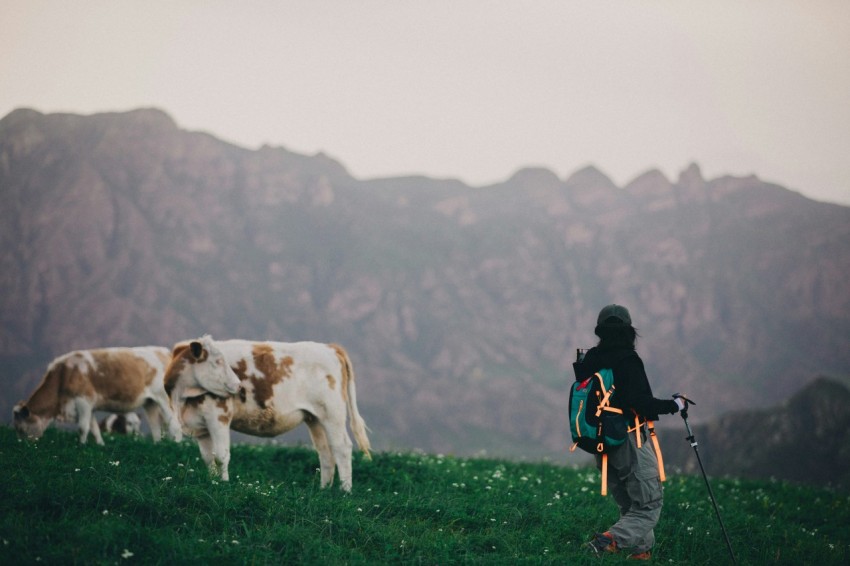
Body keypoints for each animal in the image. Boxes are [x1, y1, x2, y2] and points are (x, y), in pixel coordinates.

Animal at [13, 346, 182, 448]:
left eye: (21, 428)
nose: (23, 446)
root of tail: (163, 351)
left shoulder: (83, 400)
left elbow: (83, 427)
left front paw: (81, 446)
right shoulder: (89, 406)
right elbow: (93, 427)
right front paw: (100, 445)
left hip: (164, 399)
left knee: (174, 424)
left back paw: (177, 445)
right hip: (150, 402)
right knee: (155, 426)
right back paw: (157, 445)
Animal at [166, 338, 372, 492]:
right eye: (218, 361)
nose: (239, 386)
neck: (181, 402)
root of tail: (331, 347)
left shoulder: (218, 416)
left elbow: (221, 456)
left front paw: (223, 485)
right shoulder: (201, 428)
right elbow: (208, 458)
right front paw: (213, 483)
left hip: (332, 414)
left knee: (342, 447)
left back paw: (345, 491)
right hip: (315, 418)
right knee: (325, 452)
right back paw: (324, 490)